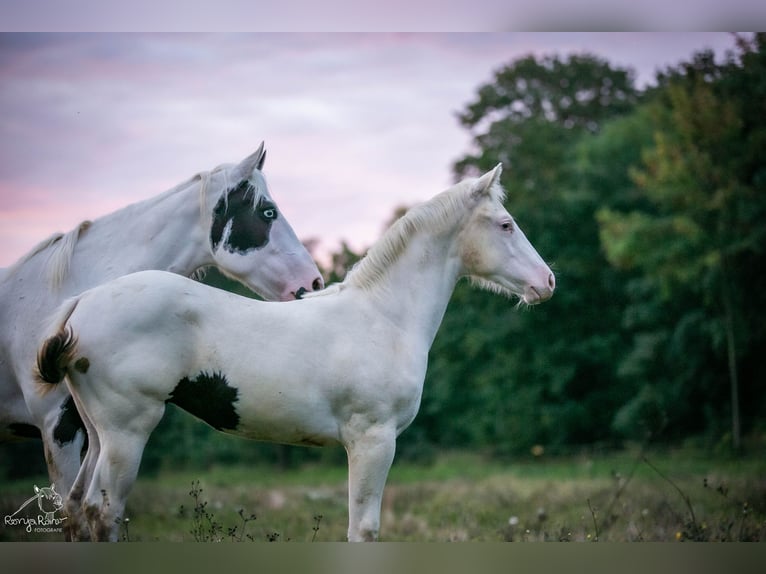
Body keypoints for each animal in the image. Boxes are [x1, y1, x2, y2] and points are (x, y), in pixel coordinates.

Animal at [37, 164, 560, 544]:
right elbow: (363, 529)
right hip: (128, 432)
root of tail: (81, 304)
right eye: (506, 225)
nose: (547, 282)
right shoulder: (373, 441)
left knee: (78, 509)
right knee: (103, 514)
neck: (382, 316)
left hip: (98, 433)